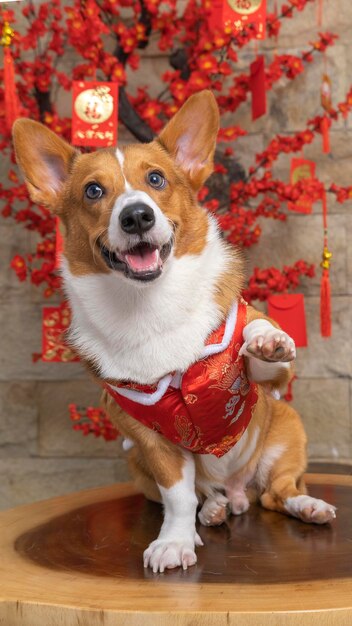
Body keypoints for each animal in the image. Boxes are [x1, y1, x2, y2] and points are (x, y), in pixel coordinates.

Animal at [13, 90, 336, 572]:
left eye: (156, 179)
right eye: (93, 190)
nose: (137, 216)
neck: (150, 303)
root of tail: (240, 491)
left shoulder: (267, 381)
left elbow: (257, 339)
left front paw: (267, 340)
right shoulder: (148, 438)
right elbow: (178, 497)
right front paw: (175, 541)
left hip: (286, 433)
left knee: (280, 493)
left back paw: (306, 506)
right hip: (137, 465)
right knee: (210, 494)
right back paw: (216, 508)